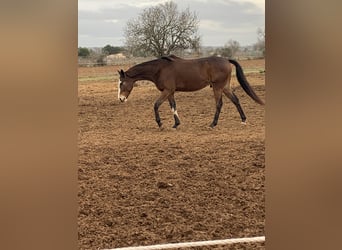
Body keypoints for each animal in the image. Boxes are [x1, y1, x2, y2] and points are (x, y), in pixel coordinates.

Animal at [117, 55, 264, 128]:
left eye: (121, 83)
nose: (121, 99)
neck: (160, 69)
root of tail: (226, 60)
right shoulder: (170, 92)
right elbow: (173, 107)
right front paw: (176, 124)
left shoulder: (167, 91)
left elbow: (156, 105)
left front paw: (160, 123)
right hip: (225, 87)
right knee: (235, 100)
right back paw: (243, 120)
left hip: (217, 88)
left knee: (219, 104)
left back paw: (213, 124)